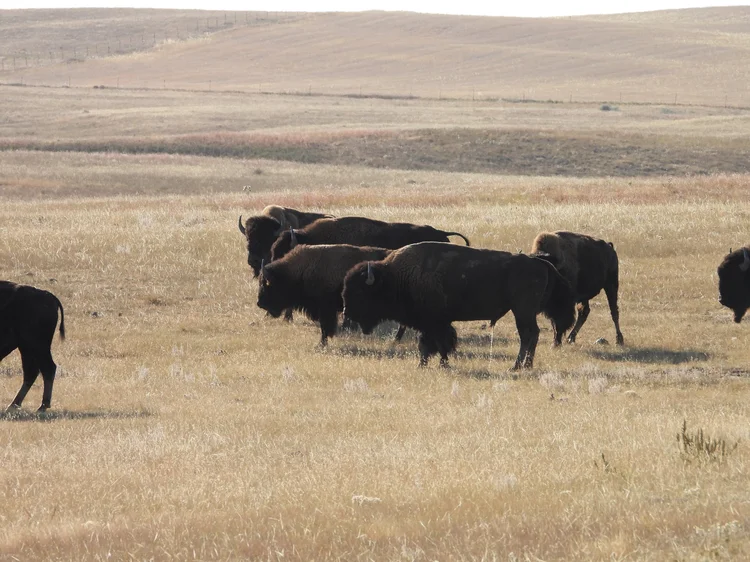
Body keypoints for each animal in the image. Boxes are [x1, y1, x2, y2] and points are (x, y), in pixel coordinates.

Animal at [1, 281, 65, 411]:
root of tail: (49, 296)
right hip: (27, 348)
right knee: (33, 371)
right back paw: (15, 405)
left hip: (35, 346)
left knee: (46, 368)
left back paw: (41, 407)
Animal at [257, 244, 405, 347]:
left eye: (267, 284)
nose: (259, 303)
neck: (301, 270)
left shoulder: (325, 310)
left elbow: (325, 328)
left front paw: (321, 344)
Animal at [342, 242, 575, 370]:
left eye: (360, 291)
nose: (346, 312)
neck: (396, 277)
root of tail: (539, 262)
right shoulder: (434, 323)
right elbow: (433, 343)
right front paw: (431, 364)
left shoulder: (433, 322)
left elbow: (434, 343)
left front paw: (433, 364)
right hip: (524, 312)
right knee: (532, 335)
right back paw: (526, 365)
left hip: (522, 311)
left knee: (528, 335)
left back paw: (516, 367)